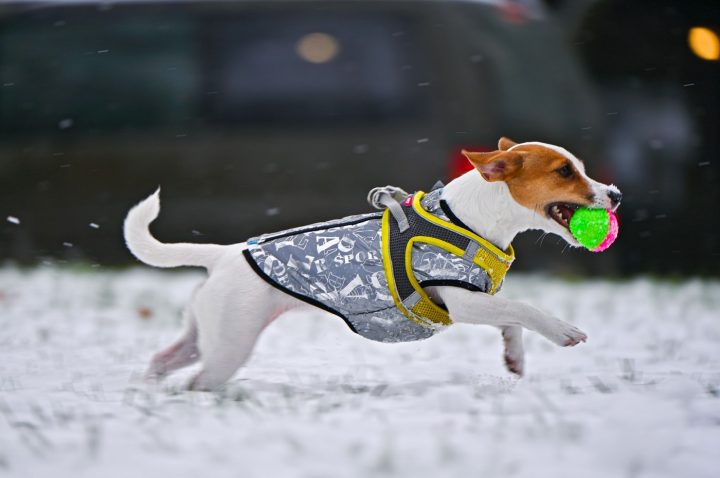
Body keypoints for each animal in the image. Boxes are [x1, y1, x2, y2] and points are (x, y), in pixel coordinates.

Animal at [122, 136, 620, 390]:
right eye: (564, 172)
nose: (615, 194)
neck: (468, 220)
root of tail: (225, 254)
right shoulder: (460, 300)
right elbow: (523, 308)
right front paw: (563, 330)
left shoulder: (479, 299)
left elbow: (512, 318)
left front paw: (514, 358)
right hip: (231, 341)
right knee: (198, 379)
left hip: (208, 331)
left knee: (164, 358)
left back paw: (147, 391)